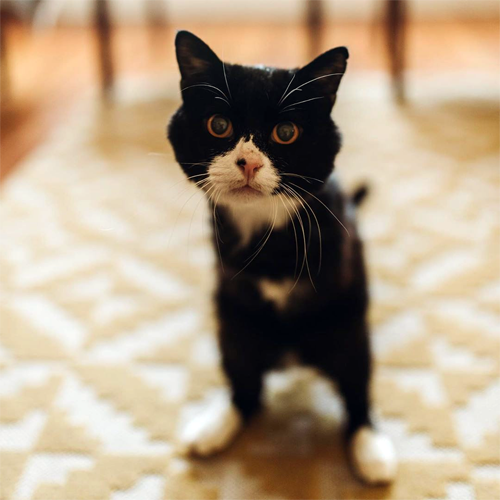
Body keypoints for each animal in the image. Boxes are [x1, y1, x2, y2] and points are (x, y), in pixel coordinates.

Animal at [168, 31, 398, 484]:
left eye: (286, 132)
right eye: (219, 125)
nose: (249, 161)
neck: (266, 233)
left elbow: (356, 376)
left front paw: (368, 442)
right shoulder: (231, 276)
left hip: (347, 326)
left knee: (355, 376)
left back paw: (369, 444)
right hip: (232, 323)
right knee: (245, 386)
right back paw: (216, 425)